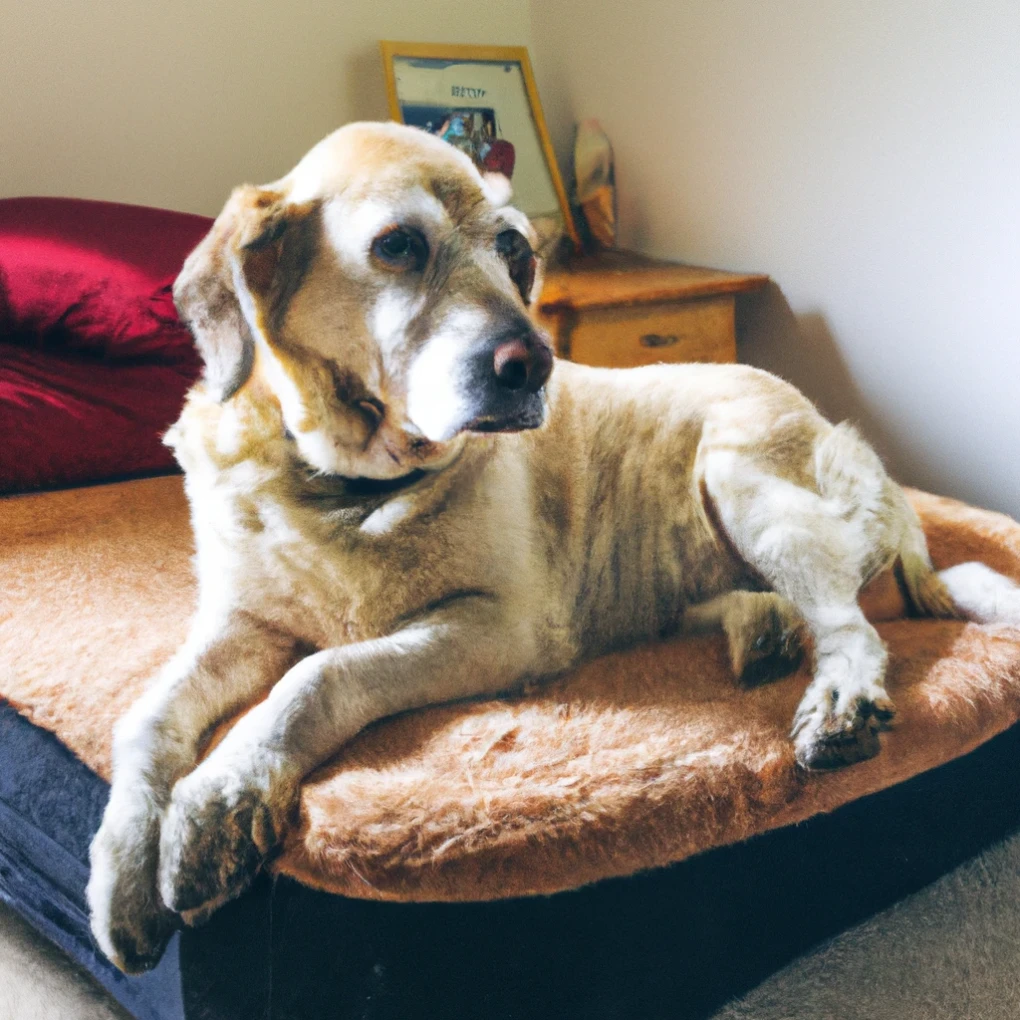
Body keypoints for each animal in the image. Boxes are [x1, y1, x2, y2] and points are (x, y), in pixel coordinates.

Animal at [85, 119, 1020, 971]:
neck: (345, 489)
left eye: (513, 250)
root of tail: (875, 472)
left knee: (856, 629)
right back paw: (761, 631)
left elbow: (320, 677)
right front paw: (125, 871)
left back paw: (839, 702)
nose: (532, 365)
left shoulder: (500, 629)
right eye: (397, 245)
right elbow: (146, 718)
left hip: (740, 475)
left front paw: (220, 800)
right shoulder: (241, 624)